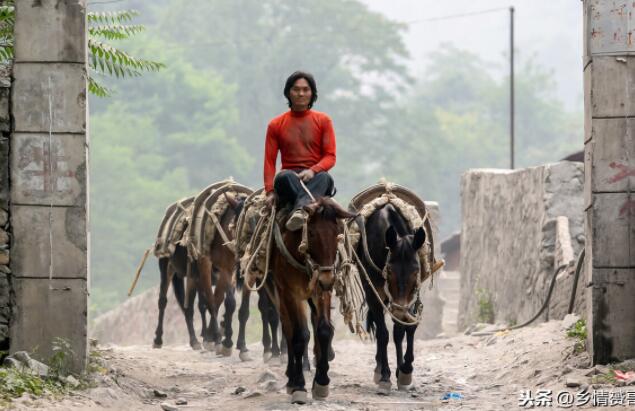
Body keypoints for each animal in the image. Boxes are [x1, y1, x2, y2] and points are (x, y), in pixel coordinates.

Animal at [270, 198, 356, 404]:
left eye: (338, 233)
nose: (327, 279)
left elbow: (324, 330)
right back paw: (291, 379)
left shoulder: (321, 291)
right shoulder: (292, 294)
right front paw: (299, 386)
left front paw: (322, 383)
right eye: (311, 233)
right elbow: (300, 335)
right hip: (281, 295)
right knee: (288, 330)